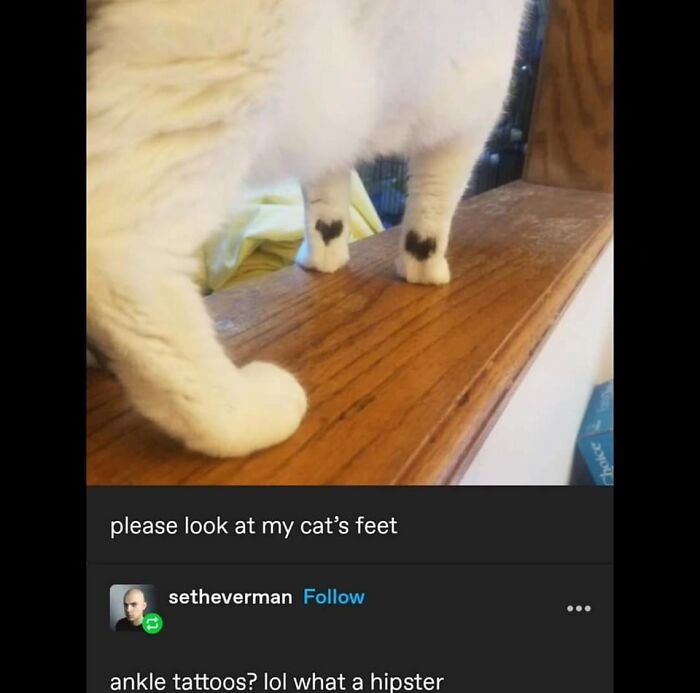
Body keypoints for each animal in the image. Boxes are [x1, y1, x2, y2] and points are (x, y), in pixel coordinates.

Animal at [87, 0, 530, 457]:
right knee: (121, 255)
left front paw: (324, 258)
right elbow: (434, 206)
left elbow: (326, 204)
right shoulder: (470, 116)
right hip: (211, 87)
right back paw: (251, 409)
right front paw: (425, 269)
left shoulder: (335, 134)